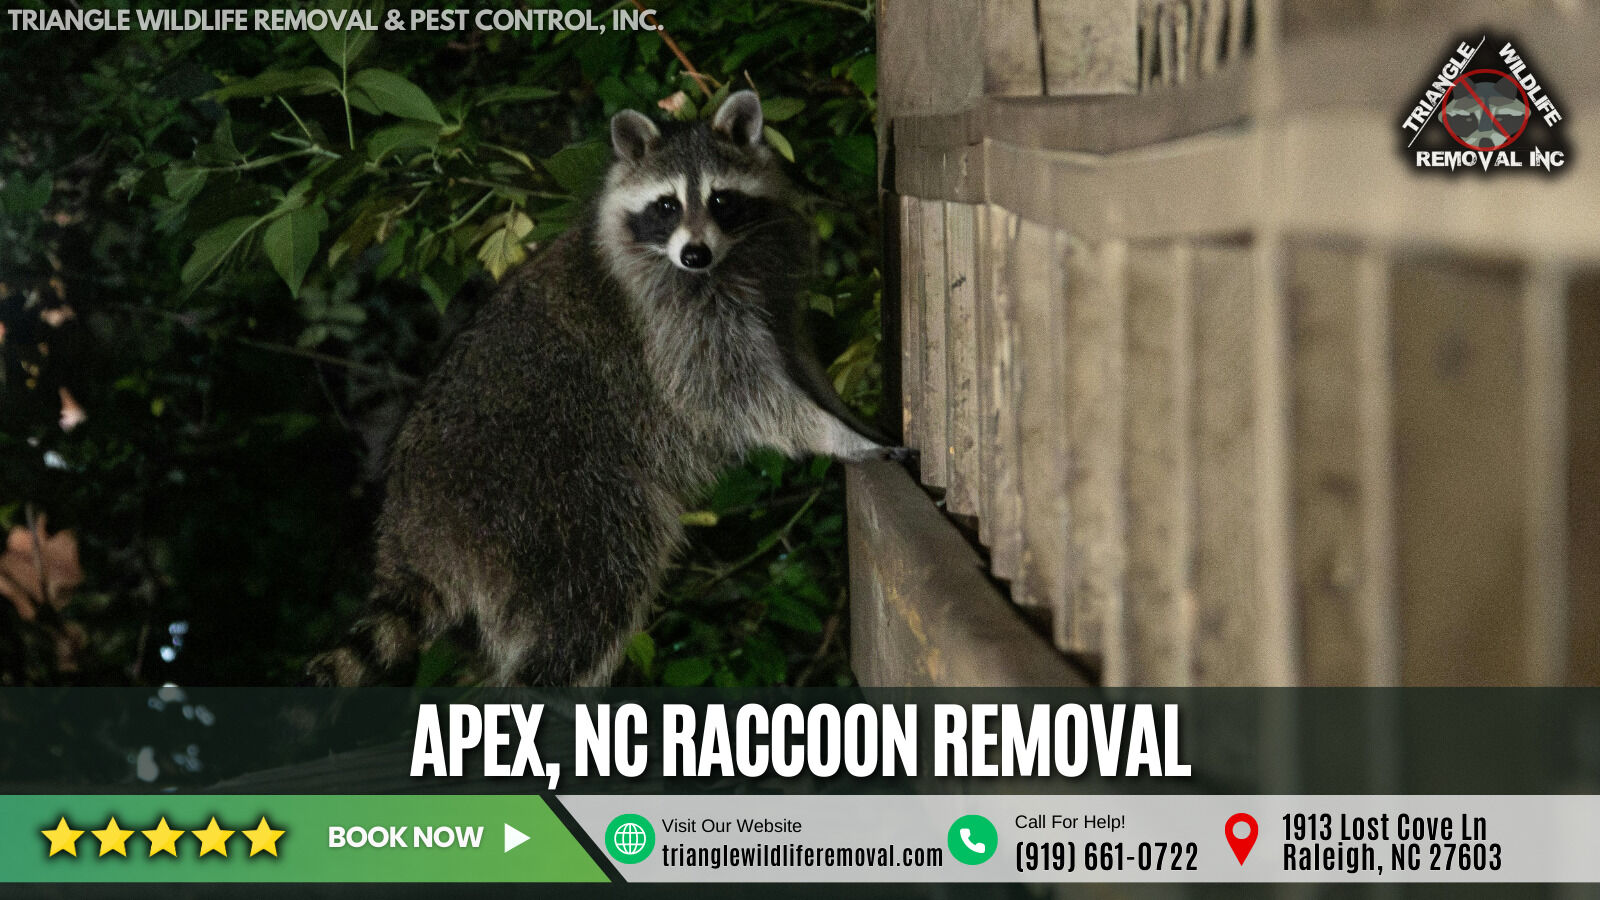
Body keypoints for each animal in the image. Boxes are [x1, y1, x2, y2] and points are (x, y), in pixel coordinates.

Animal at [307, 91, 895, 687]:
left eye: (721, 199)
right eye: (666, 206)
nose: (695, 254)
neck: (727, 260)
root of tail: (410, 528)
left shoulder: (773, 278)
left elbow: (793, 355)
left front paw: (843, 412)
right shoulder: (666, 324)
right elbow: (724, 389)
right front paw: (832, 433)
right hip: (549, 505)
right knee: (595, 592)